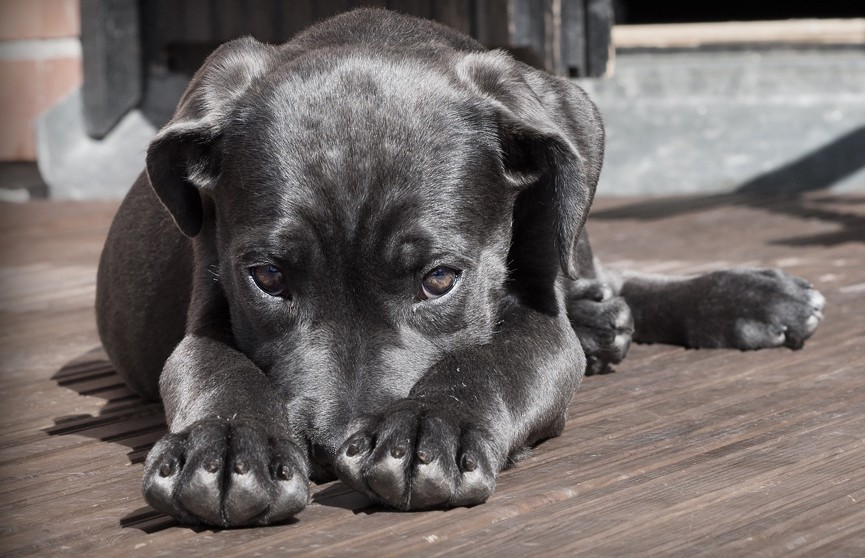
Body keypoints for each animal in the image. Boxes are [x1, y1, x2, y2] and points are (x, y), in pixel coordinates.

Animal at [94, 7, 824, 528]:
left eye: (439, 279)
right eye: (268, 279)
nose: (329, 449)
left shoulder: (539, 323)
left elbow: (491, 359)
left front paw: (428, 427)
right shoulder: (206, 309)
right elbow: (216, 368)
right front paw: (224, 446)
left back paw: (744, 299)